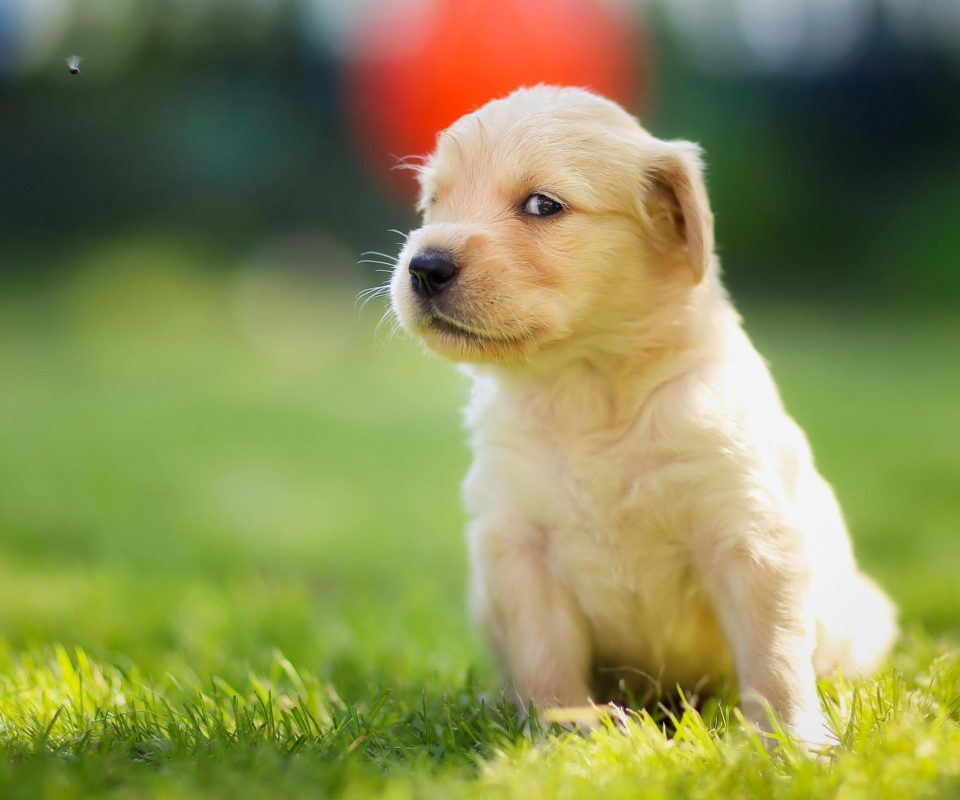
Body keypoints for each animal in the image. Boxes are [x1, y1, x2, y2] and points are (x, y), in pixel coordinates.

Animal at [386, 84, 896, 748]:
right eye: (432, 202)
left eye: (542, 204)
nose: (424, 266)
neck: (587, 389)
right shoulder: (518, 545)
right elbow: (544, 657)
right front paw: (567, 733)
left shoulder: (749, 538)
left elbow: (775, 658)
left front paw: (793, 743)